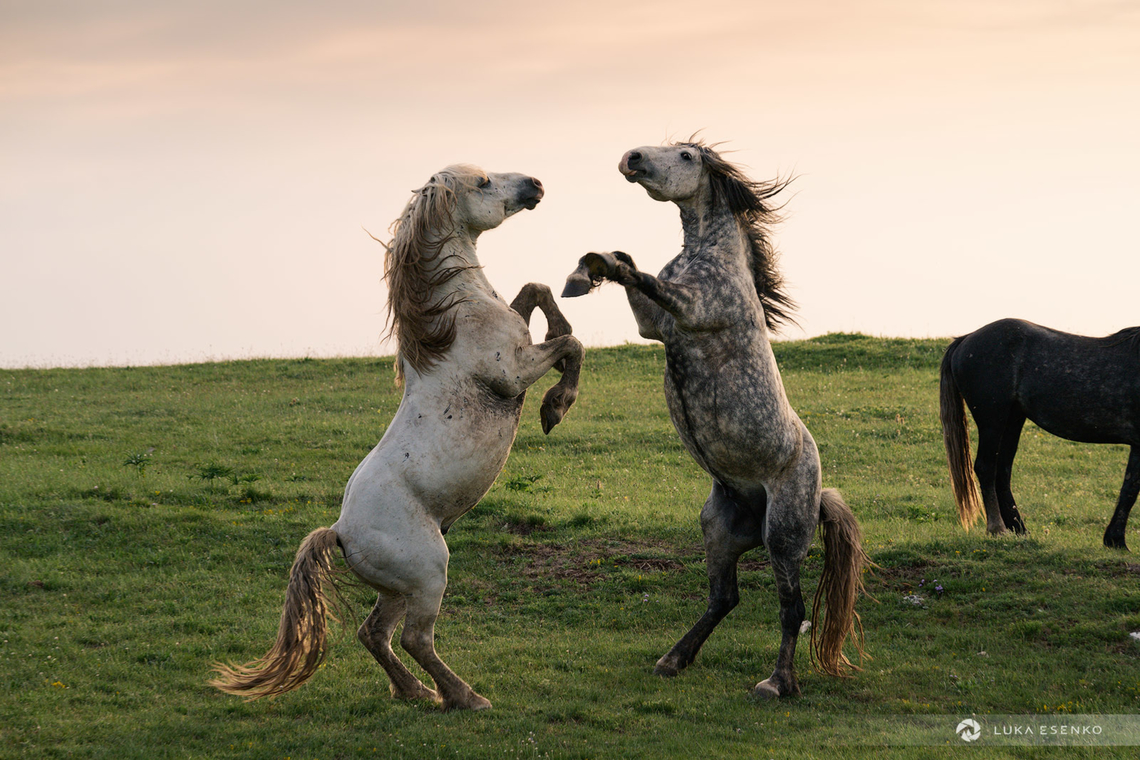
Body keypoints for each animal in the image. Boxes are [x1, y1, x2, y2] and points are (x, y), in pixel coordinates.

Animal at [211, 165, 584, 710]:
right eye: (483, 182)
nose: (534, 184)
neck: (458, 318)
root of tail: (340, 532)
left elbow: (536, 291)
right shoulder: (512, 374)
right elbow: (571, 345)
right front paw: (556, 405)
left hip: (395, 588)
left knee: (374, 634)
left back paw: (414, 691)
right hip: (429, 574)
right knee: (414, 638)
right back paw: (464, 697)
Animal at [562, 140, 869, 699]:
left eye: (685, 155)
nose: (632, 158)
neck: (707, 254)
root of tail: (818, 496)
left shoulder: (693, 308)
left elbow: (646, 278)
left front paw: (594, 268)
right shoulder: (654, 325)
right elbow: (628, 270)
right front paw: (588, 270)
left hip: (783, 537)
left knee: (791, 609)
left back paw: (777, 682)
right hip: (720, 529)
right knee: (724, 597)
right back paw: (673, 658)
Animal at [940, 317, 1140, 550]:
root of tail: (965, 339)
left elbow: (1130, 487)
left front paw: (1115, 540)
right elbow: (1130, 489)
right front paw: (1116, 539)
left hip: (1013, 420)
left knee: (1002, 472)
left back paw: (1020, 529)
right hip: (993, 422)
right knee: (986, 468)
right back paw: (997, 529)